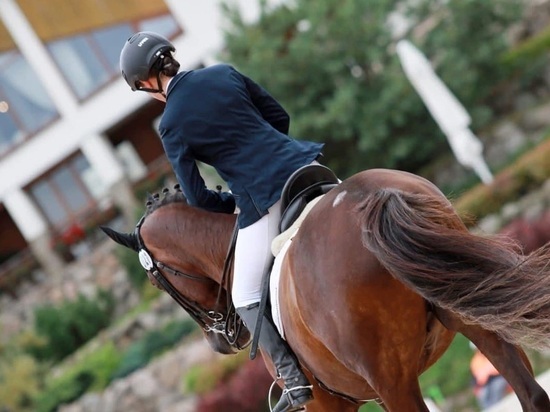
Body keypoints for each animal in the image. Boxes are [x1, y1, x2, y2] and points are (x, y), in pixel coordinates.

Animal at [101, 169, 550, 410]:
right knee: (532, 396)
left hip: (392, 381)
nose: (220, 342)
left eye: (157, 280)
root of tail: (375, 197)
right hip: (479, 323)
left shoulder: (328, 403)